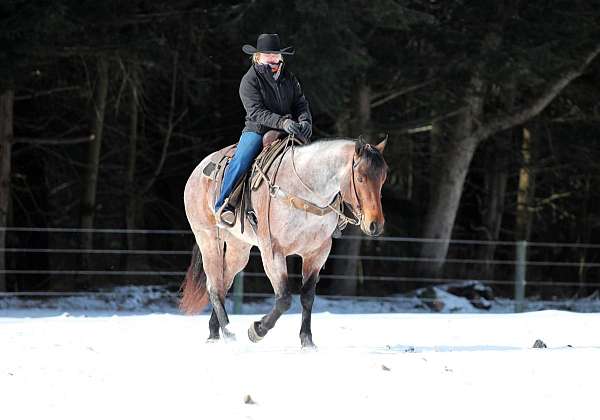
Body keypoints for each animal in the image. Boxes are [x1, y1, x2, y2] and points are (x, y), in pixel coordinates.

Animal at [180, 136, 386, 346]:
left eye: (383, 178)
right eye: (360, 178)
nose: (375, 225)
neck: (303, 191)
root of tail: (199, 169)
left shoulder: (317, 253)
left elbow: (307, 296)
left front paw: (307, 341)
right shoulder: (272, 250)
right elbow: (284, 298)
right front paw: (257, 330)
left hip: (239, 248)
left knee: (223, 283)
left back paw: (215, 332)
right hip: (208, 239)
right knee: (213, 286)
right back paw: (229, 333)